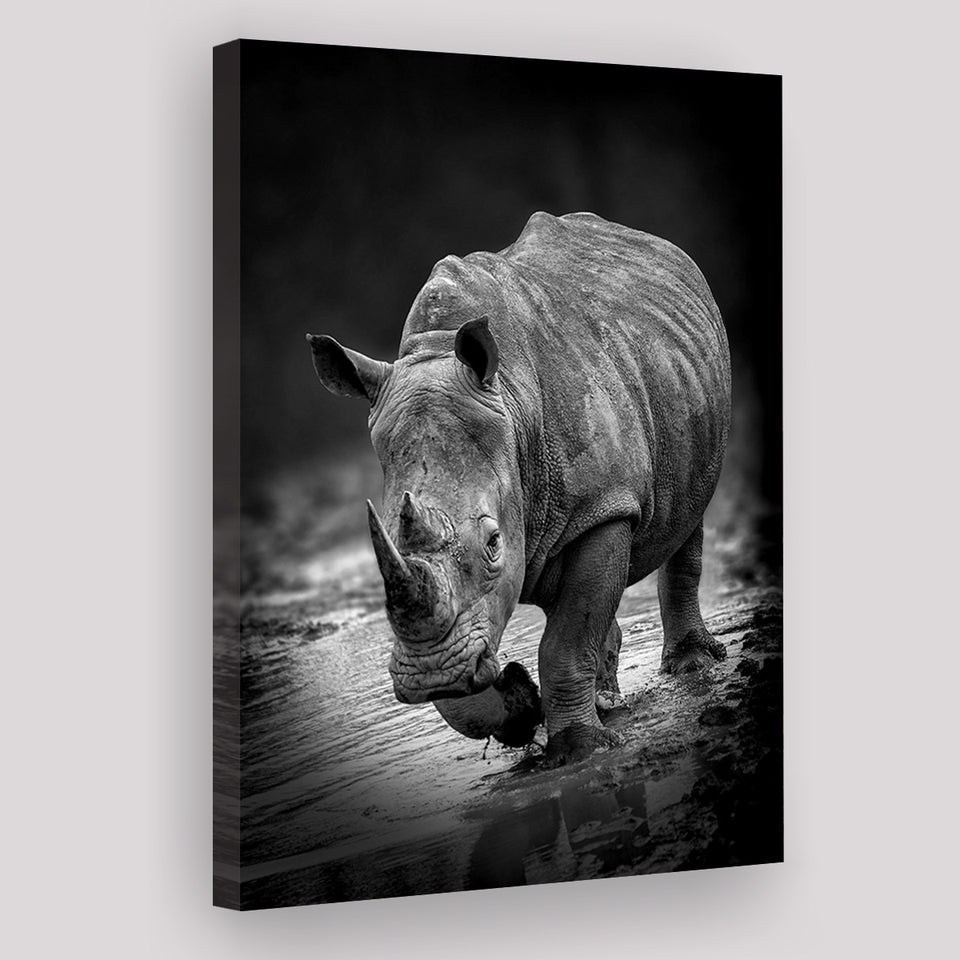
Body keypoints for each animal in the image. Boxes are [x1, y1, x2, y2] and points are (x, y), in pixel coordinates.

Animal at [307, 211, 731, 764]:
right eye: (387, 543)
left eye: (493, 543)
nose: (430, 675)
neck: (512, 406)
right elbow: (479, 668)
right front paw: (519, 702)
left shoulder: (604, 508)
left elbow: (565, 641)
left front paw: (581, 751)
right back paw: (605, 697)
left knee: (688, 514)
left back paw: (691, 667)